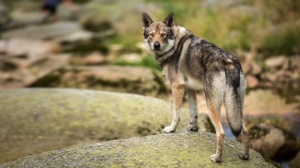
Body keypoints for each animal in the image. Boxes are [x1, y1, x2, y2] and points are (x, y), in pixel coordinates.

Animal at [142, 12, 250, 163]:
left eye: (163, 35)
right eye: (152, 35)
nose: (156, 45)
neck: (175, 46)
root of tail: (229, 62)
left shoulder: (176, 87)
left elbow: (176, 113)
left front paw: (171, 129)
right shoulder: (190, 89)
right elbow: (194, 112)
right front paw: (193, 128)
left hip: (212, 105)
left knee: (221, 132)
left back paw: (217, 158)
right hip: (236, 108)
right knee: (245, 130)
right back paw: (245, 156)